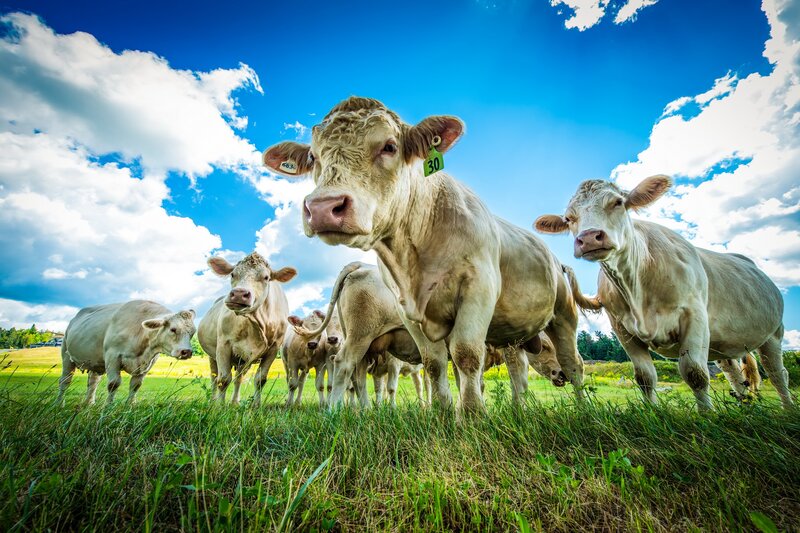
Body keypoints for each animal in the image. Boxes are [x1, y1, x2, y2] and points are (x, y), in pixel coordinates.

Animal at [57, 300, 196, 406]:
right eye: (173, 329)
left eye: (192, 333)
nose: (187, 352)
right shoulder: (112, 357)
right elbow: (113, 384)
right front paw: (108, 407)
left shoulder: (146, 364)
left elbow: (136, 385)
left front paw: (130, 406)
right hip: (66, 355)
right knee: (65, 381)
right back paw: (59, 403)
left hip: (95, 362)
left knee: (92, 382)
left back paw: (89, 403)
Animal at [198, 252, 296, 407]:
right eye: (233, 274)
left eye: (266, 277)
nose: (239, 293)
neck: (256, 322)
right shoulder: (223, 345)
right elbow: (223, 379)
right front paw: (219, 407)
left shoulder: (273, 349)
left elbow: (260, 379)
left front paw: (256, 405)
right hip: (212, 355)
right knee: (214, 377)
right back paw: (213, 401)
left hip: (242, 360)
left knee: (238, 378)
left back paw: (234, 402)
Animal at [264, 97, 584, 413]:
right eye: (313, 157)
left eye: (389, 146)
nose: (322, 207)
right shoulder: (410, 311)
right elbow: (441, 364)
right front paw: (456, 414)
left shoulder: (478, 290)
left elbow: (464, 359)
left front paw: (467, 415)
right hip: (360, 334)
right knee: (346, 366)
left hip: (564, 315)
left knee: (573, 362)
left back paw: (584, 408)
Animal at [534, 176, 792, 410]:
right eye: (569, 218)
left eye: (618, 202)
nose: (588, 238)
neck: (637, 285)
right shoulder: (622, 329)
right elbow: (645, 377)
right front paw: (654, 413)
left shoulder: (694, 315)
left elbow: (695, 373)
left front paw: (707, 416)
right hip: (724, 344)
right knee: (736, 374)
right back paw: (746, 408)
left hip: (773, 334)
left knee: (778, 373)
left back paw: (787, 409)